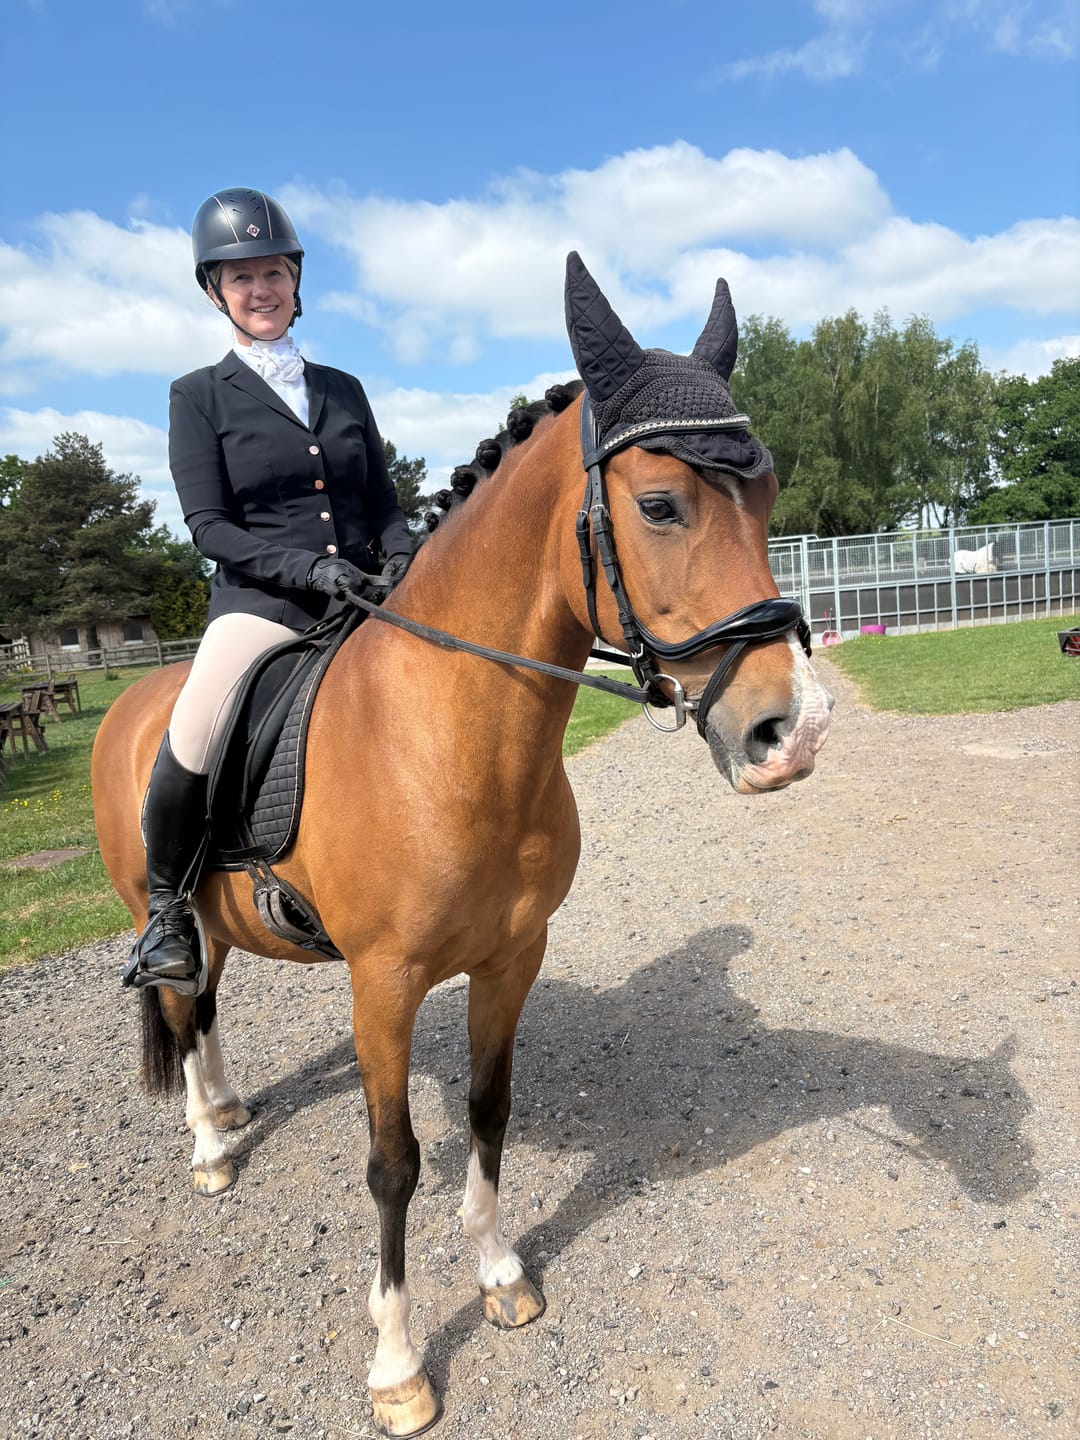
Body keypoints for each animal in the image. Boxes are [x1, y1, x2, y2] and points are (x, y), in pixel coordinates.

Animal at [92, 253, 834, 1437]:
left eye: (764, 499)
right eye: (660, 504)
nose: (791, 731)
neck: (453, 736)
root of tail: (132, 701)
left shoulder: (510, 958)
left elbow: (489, 1111)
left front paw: (498, 1275)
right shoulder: (385, 984)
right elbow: (393, 1162)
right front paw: (398, 1366)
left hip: (217, 916)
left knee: (201, 1009)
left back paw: (227, 1114)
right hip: (153, 903)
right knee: (175, 996)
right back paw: (209, 1147)